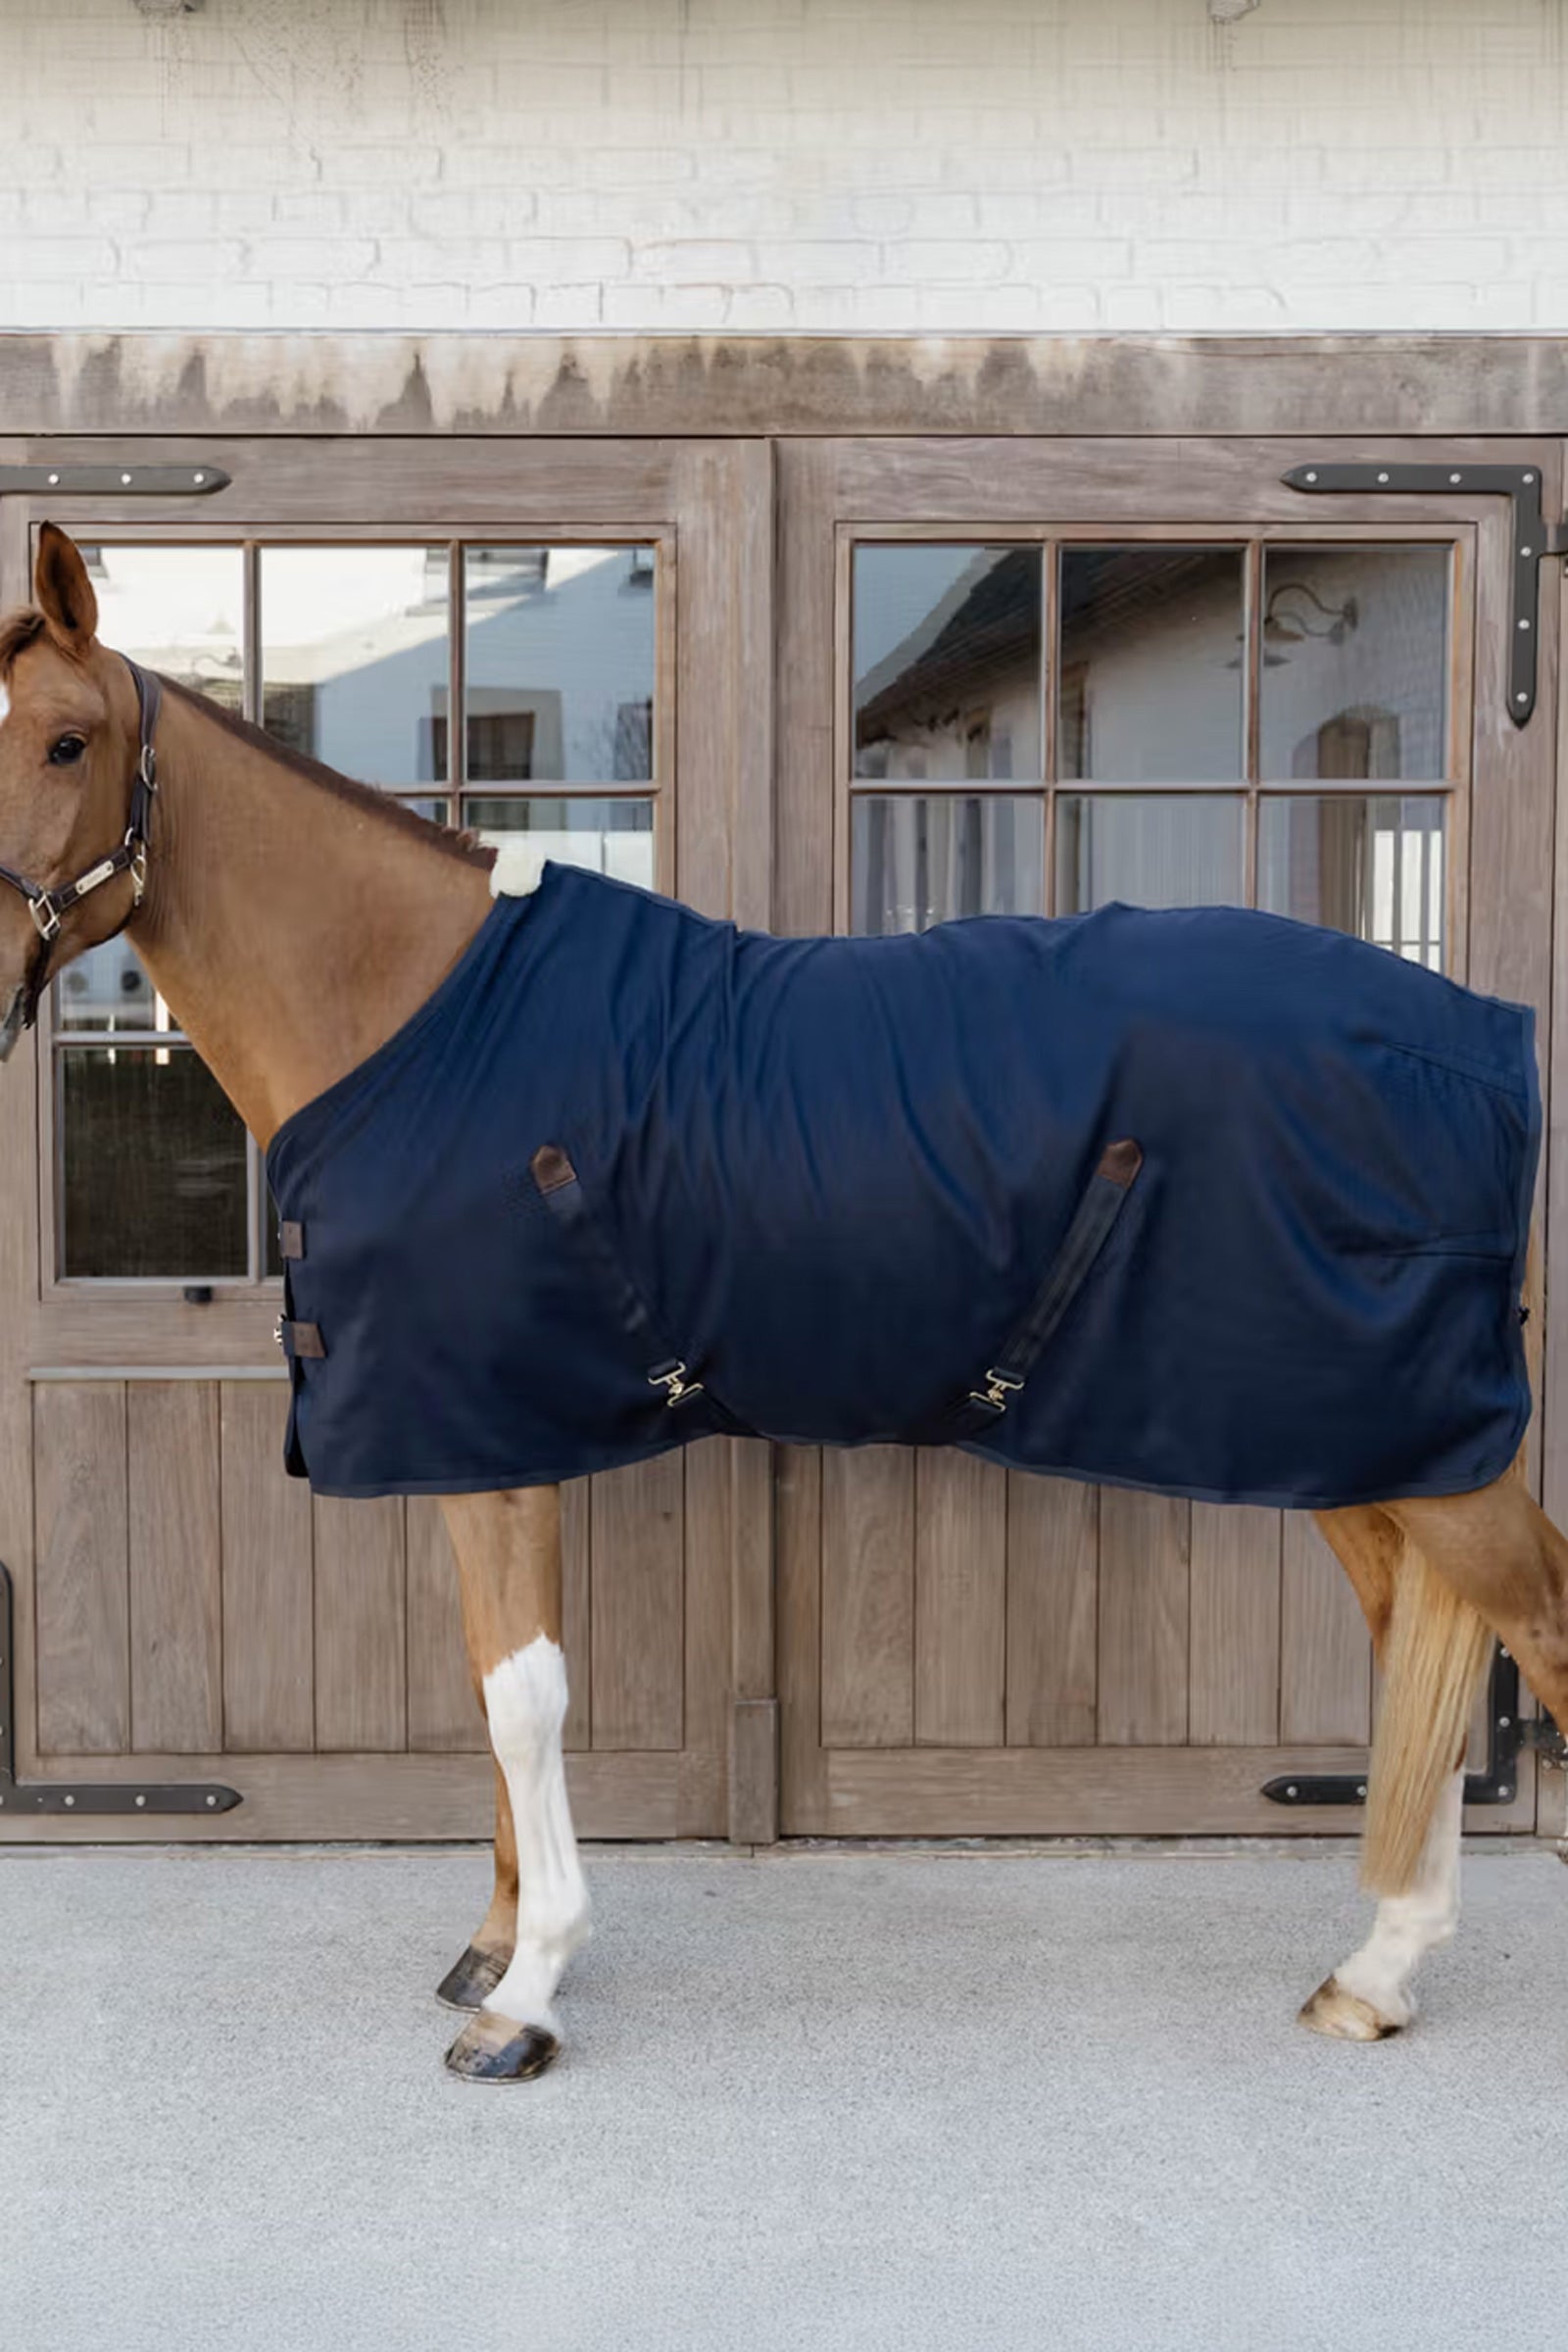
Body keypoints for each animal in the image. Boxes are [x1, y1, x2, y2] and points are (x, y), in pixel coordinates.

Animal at [0, 521, 1565, 2086]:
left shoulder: (488, 1438)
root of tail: (1478, 1041)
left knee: (1533, 1615)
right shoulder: (483, 1439)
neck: (413, 1013)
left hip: (1413, 1444)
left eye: (68, 740)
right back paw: (1377, 1970)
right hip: (1356, 1444)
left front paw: (527, 1995)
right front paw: (493, 1948)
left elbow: (525, 1698)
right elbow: (495, 1689)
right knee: (1421, 1639)